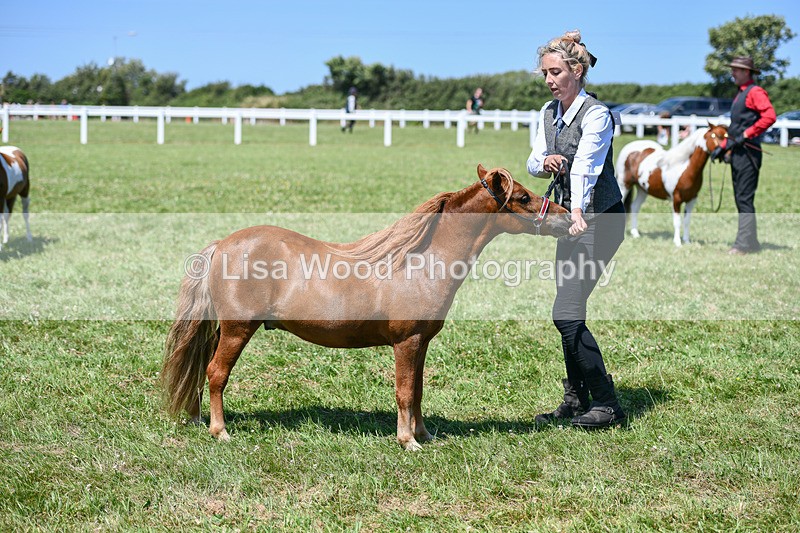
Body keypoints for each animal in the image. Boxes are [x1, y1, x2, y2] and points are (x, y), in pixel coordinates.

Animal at [161, 164, 571, 451]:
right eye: (521, 197)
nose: (567, 217)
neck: (421, 262)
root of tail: (222, 244)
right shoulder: (406, 342)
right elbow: (404, 392)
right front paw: (408, 441)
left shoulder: (421, 343)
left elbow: (417, 390)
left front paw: (424, 434)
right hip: (237, 329)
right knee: (215, 373)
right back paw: (220, 432)